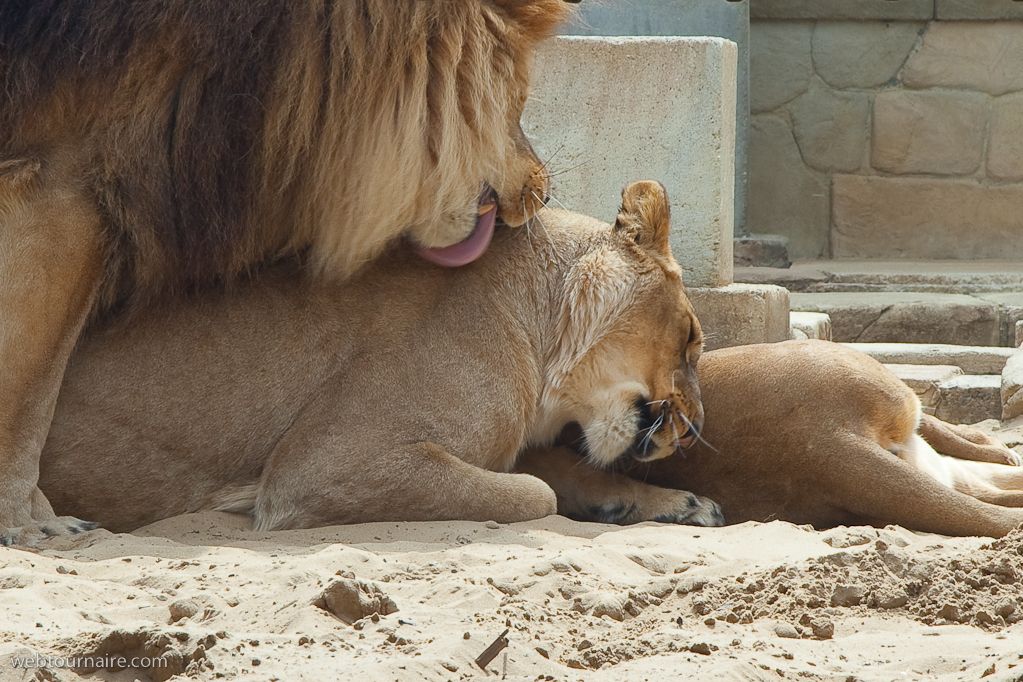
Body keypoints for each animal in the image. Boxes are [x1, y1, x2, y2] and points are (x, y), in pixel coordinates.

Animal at [36, 181, 722, 534]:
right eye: (692, 336)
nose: (695, 431)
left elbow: (564, 471)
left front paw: (673, 503)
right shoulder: (316, 468)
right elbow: (534, 492)